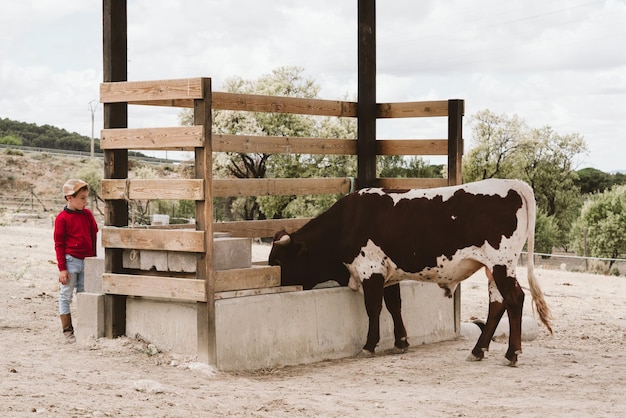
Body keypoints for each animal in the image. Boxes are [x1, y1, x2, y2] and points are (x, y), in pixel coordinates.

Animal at [268, 178, 552, 364]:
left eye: (279, 262)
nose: (275, 284)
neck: (347, 222)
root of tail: (515, 184)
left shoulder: (371, 269)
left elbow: (374, 307)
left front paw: (369, 345)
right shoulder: (389, 271)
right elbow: (395, 305)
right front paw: (401, 342)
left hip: (501, 263)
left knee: (514, 299)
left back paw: (511, 353)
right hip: (493, 268)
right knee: (497, 303)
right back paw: (478, 350)